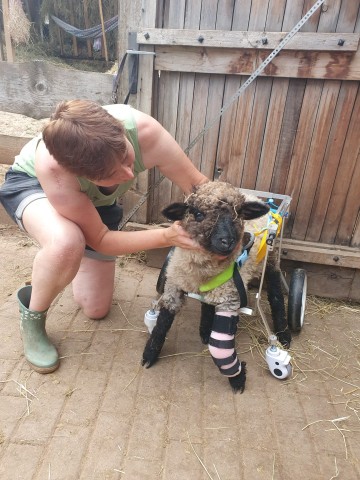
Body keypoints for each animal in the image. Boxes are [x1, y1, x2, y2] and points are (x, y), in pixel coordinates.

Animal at [141, 182, 292, 392]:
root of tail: (255, 197)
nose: (227, 242)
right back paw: (205, 329)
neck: (202, 271)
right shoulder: (174, 285)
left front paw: (237, 378)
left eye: (239, 214)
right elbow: (161, 324)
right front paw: (149, 354)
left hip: (270, 257)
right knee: (207, 303)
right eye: (198, 214)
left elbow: (219, 349)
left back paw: (283, 334)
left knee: (276, 290)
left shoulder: (229, 298)